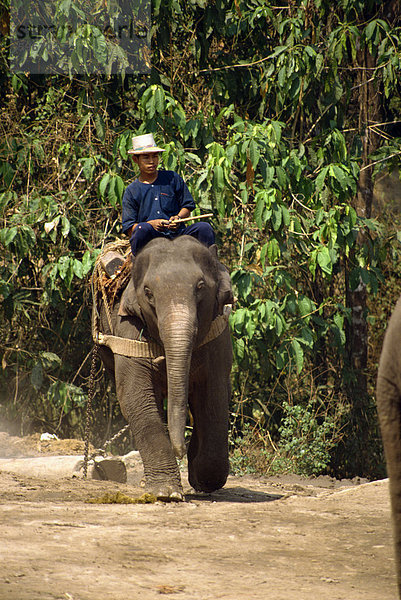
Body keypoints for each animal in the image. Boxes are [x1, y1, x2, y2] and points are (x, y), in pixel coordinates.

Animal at [94, 234, 233, 502]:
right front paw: (166, 493)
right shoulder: (128, 329)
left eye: (200, 286)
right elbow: (135, 396)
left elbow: (213, 395)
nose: (179, 451)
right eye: (148, 292)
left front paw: (203, 480)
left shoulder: (218, 331)